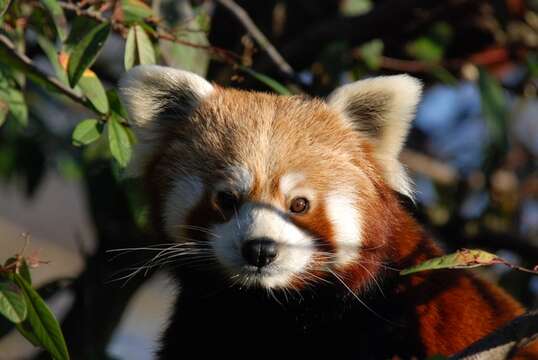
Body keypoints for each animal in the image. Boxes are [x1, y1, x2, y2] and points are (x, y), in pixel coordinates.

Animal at [118, 65, 536, 360]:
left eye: (299, 204)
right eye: (227, 199)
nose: (260, 250)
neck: (272, 310)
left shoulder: (404, 314)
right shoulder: (201, 323)